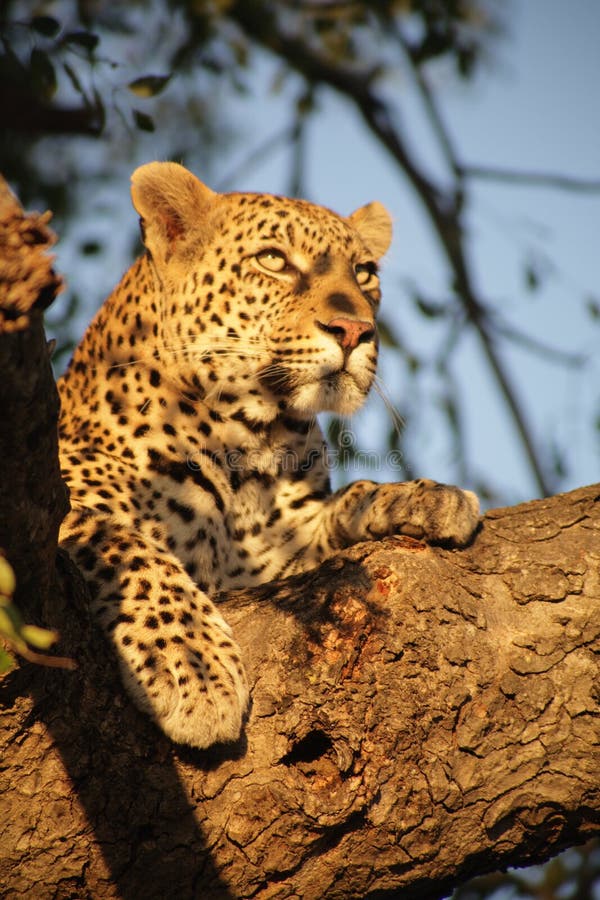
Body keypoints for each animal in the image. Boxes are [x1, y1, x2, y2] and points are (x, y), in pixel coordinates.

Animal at [56, 160, 478, 744]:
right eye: (273, 260)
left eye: (364, 272)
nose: (355, 330)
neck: (254, 446)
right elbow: (123, 541)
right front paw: (194, 665)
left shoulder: (267, 565)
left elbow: (344, 504)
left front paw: (424, 497)